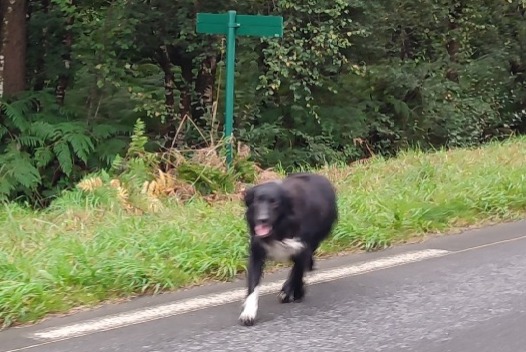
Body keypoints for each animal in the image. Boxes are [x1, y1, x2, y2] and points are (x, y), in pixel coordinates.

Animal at [240, 172, 340, 326]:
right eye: (256, 201)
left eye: (274, 202)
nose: (262, 219)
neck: (279, 229)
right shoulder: (256, 253)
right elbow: (253, 285)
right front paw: (248, 313)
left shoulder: (303, 247)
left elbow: (297, 273)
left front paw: (295, 292)